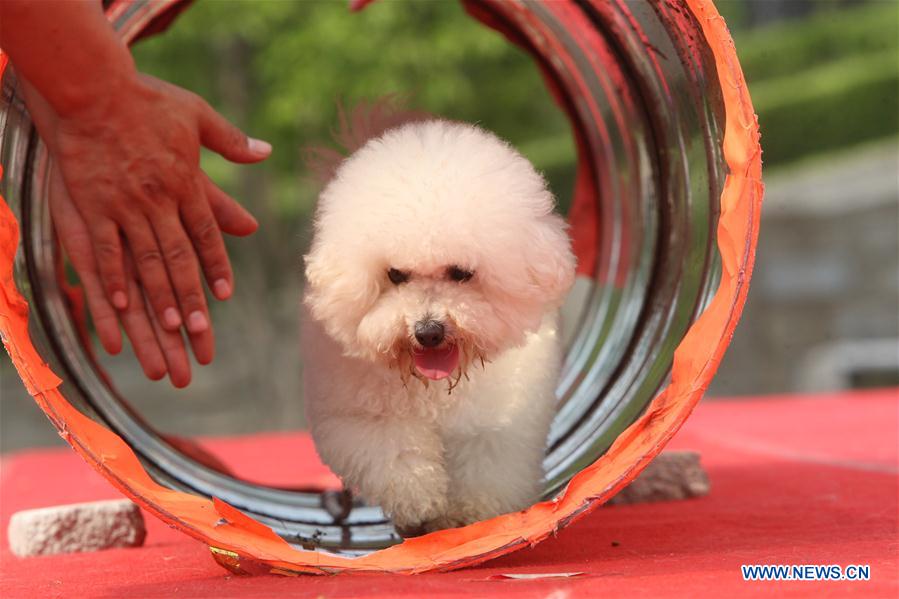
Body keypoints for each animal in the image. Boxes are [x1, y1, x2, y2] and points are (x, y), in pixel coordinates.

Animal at [302, 115, 576, 536]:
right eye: (395, 274)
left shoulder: (497, 426)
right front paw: (421, 501)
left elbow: (486, 468)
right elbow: (395, 454)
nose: (428, 331)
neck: (432, 388)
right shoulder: (359, 415)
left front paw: (472, 515)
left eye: (461, 272)